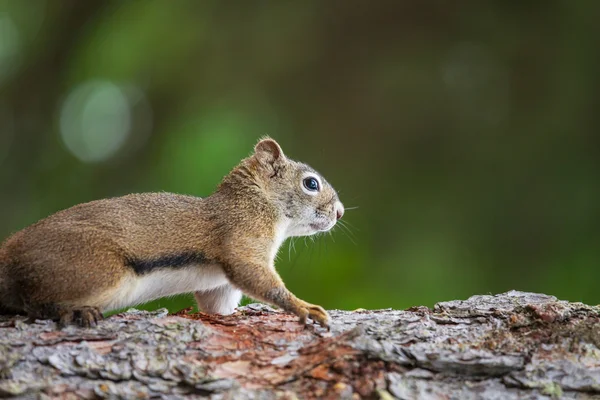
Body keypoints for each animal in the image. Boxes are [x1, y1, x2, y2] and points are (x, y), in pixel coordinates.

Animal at [0, 138, 342, 328]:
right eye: (311, 184)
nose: (339, 212)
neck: (257, 201)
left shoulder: (219, 285)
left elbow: (218, 306)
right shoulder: (241, 239)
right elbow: (257, 278)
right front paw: (304, 308)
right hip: (95, 269)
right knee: (35, 298)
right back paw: (73, 312)